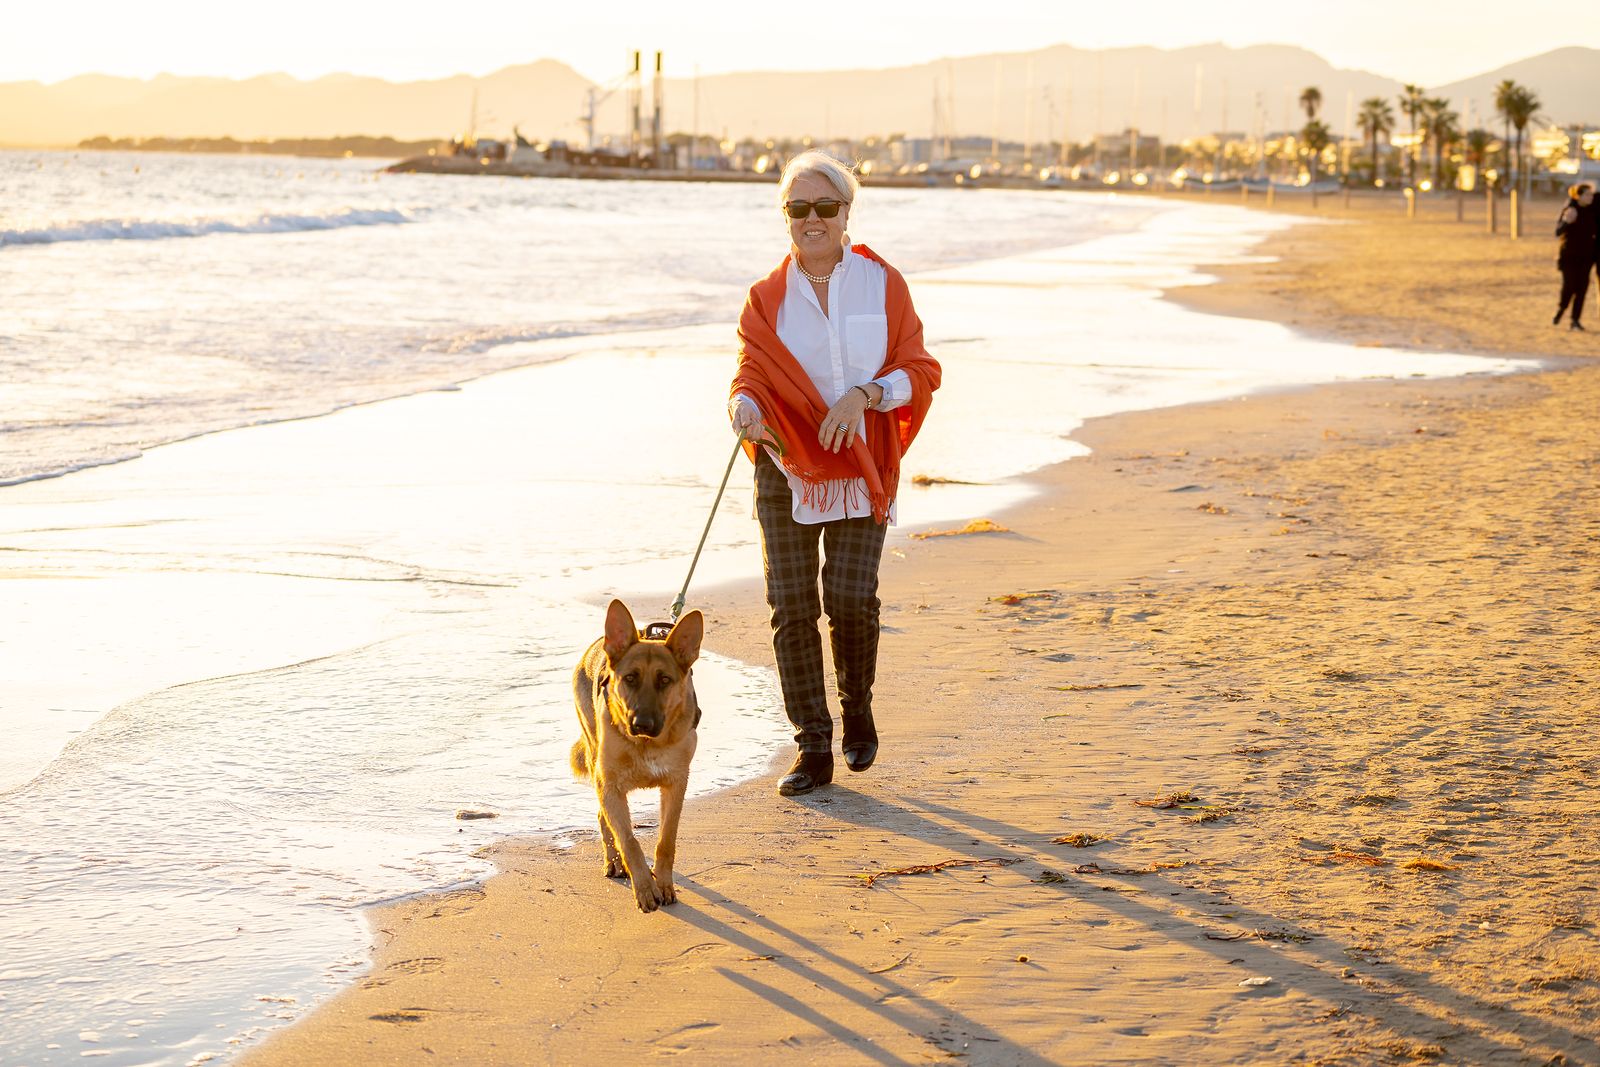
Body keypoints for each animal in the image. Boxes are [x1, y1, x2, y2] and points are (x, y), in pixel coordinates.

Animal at [572, 601, 704, 908]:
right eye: (630, 678)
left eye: (664, 680)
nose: (642, 724)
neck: (647, 744)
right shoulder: (610, 788)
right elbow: (629, 841)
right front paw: (644, 888)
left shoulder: (676, 786)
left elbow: (666, 840)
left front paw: (663, 884)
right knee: (603, 819)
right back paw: (614, 862)